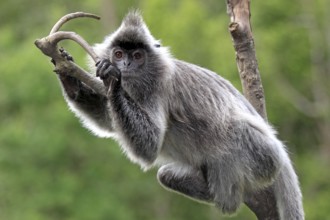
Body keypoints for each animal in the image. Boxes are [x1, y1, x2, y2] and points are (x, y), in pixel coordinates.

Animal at [54, 10, 304, 220]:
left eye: (137, 56)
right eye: (118, 53)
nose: (124, 64)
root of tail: (281, 153)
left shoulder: (159, 87)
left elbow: (150, 145)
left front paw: (112, 78)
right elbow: (110, 122)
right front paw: (69, 79)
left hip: (263, 155)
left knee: (234, 132)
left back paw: (229, 200)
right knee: (166, 175)